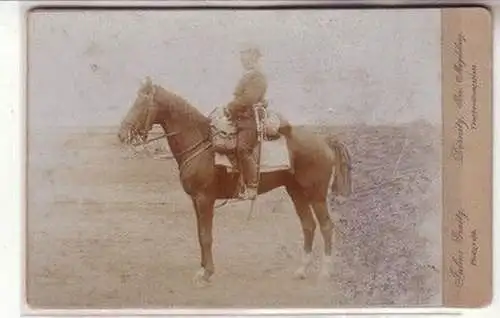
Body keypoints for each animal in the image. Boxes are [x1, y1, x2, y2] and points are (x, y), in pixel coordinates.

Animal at [117, 77, 352, 286]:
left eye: (141, 104)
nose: (121, 134)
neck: (200, 142)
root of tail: (325, 140)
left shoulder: (204, 199)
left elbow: (206, 236)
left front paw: (207, 274)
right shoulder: (195, 201)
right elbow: (200, 234)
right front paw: (202, 269)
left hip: (316, 194)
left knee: (326, 226)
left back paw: (324, 272)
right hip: (296, 191)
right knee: (308, 225)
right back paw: (301, 270)